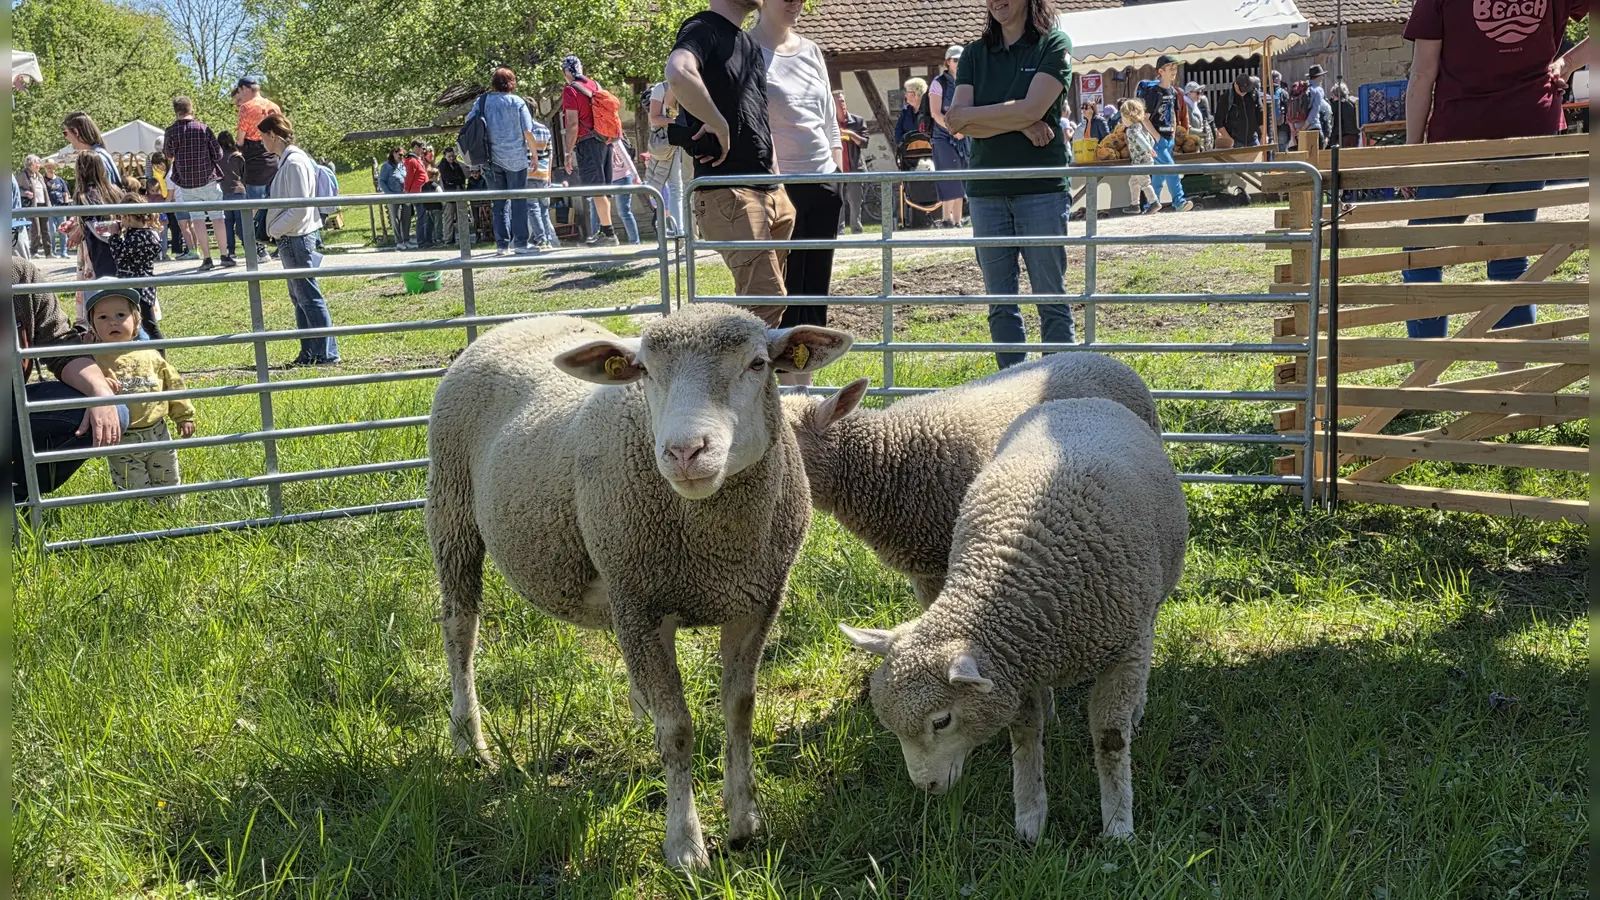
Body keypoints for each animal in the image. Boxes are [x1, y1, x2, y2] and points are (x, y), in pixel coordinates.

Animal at [425, 305, 854, 869]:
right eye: (645, 371)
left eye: (758, 364)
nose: (684, 451)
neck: (717, 545)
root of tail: (516, 322)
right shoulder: (644, 604)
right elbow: (677, 730)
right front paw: (685, 845)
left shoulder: (756, 601)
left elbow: (740, 709)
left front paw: (744, 820)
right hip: (452, 508)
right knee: (460, 629)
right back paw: (468, 740)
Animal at [840, 398, 1187, 843]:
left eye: (942, 721)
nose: (927, 787)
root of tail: (1080, 402)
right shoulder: (1015, 665)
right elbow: (1024, 734)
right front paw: (1030, 819)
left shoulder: (1124, 648)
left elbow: (1110, 738)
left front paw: (1117, 827)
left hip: (1149, 609)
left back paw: (1137, 709)